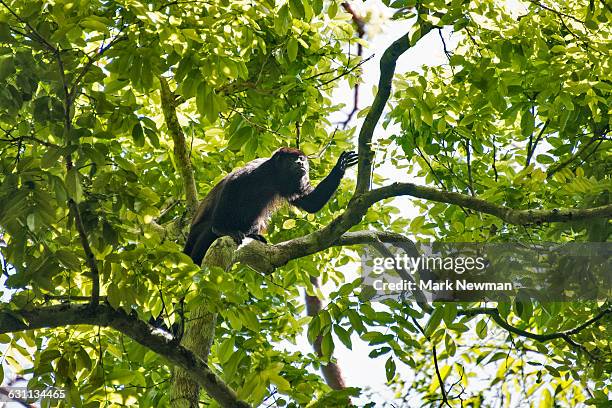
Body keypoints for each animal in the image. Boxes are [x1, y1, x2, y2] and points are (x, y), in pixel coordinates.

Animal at [183, 148, 358, 266]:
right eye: (293, 159)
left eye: (301, 158)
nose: (301, 162)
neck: (273, 176)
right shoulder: (256, 168)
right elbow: (232, 183)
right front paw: (222, 229)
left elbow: (311, 203)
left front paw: (340, 166)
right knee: (208, 230)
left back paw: (253, 234)